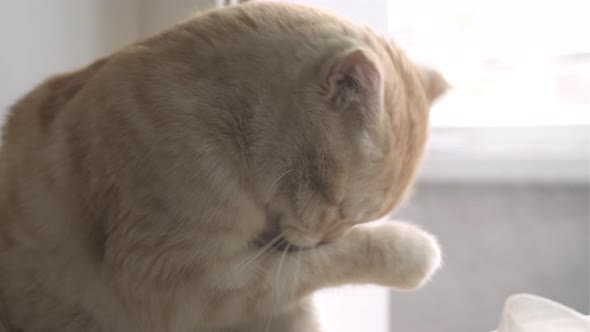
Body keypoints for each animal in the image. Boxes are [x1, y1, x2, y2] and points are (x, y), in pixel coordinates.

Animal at [0, 2, 448, 332]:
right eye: (342, 211)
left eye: (352, 218)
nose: (323, 239)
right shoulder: (184, 286)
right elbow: (318, 267)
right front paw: (412, 252)